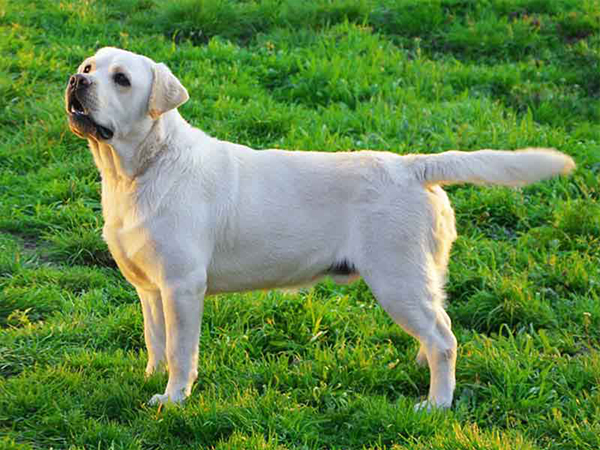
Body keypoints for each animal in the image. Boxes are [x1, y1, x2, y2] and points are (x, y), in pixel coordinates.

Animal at [65, 47, 576, 410]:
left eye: (122, 79)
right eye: (89, 66)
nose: (76, 80)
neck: (138, 170)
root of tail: (414, 166)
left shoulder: (183, 286)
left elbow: (180, 351)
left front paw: (173, 399)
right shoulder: (150, 287)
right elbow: (156, 339)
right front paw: (150, 377)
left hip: (397, 278)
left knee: (445, 340)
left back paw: (437, 404)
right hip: (422, 277)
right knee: (439, 327)